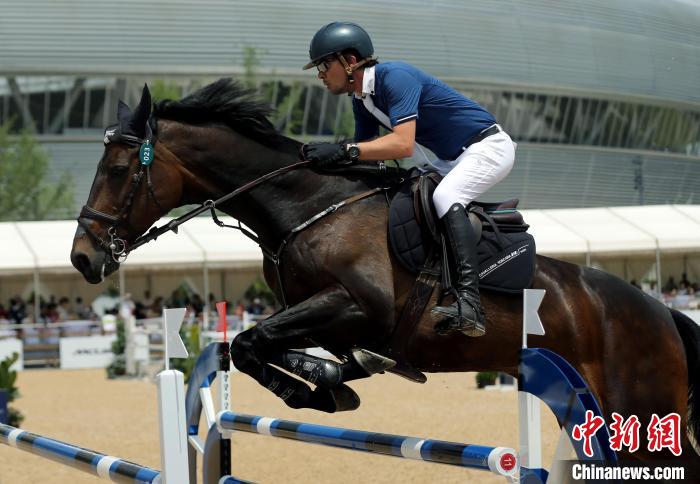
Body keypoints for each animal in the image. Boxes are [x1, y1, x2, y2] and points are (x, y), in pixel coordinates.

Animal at [71, 79, 700, 468]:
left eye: (121, 169)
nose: (82, 258)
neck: (308, 206)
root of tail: (661, 312)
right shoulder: (323, 315)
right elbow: (253, 345)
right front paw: (331, 381)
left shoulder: (358, 304)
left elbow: (253, 341)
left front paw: (322, 387)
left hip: (641, 411)